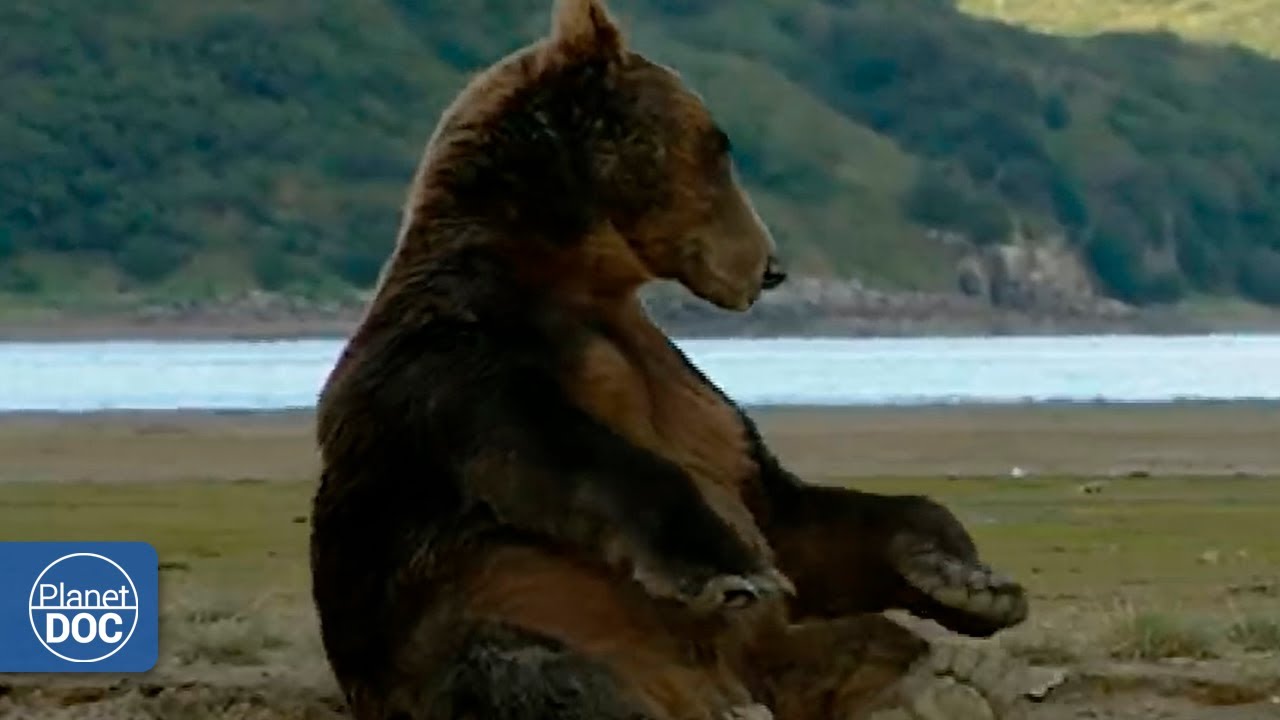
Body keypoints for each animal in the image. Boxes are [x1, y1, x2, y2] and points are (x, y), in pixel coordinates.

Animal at [309, 2, 1032, 719]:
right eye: (719, 146)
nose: (770, 267)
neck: (572, 275)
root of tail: (720, 691)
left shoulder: (683, 383)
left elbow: (785, 510)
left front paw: (967, 581)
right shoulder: (454, 356)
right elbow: (558, 447)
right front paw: (729, 568)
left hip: (779, 660)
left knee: (871, 644)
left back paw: (935, 686)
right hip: (489, 636)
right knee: (530, 672)